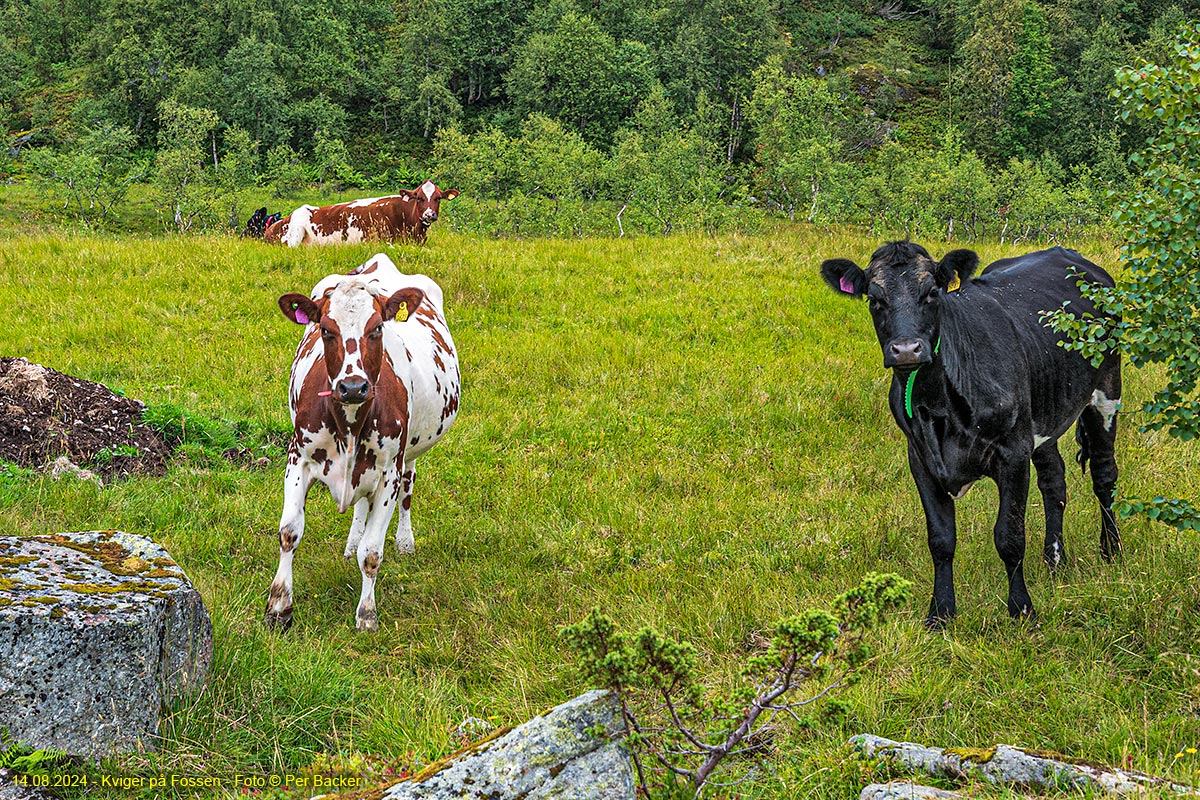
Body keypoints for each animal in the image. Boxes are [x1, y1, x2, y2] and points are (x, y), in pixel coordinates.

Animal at [270, 255, 460, 633]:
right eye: (326, 330)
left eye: (376, 329)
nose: (353, 386)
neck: (349, 422)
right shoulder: (298, 459)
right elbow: (289, 533)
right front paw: (280, 606)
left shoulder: (388, 474)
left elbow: (372, 553)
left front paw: (367, 614)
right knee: (359, 507)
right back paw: (351, 541)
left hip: (409, 452)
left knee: (408, 487)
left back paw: (404, 540)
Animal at [820, 241, 1118, 628]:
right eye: (874, 298)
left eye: (932, 293)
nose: (906, 349)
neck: (938, 404)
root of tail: (1067, 252)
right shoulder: (921, 458)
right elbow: (941, 539)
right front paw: (941, 613)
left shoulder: (1013, 452)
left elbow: (1009, 536)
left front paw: (1022, 610)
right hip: (1043, 416)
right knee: (1055, 480)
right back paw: (1055, 560)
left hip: (1106, 391)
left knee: (1104, 474)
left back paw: (1111, 552)